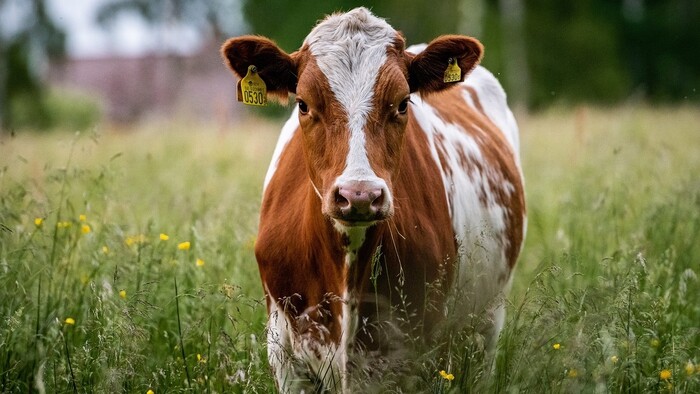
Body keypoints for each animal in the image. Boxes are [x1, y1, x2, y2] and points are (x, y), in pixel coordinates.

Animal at [221, 7, 524, 392]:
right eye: (303, 104)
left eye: (403, 103)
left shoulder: (420, 354)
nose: (360, 195)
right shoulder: (286, 355)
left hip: (487, 321)